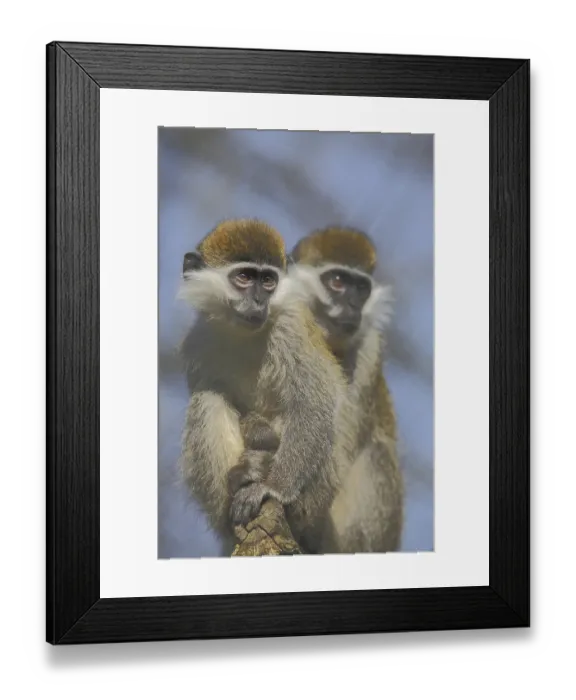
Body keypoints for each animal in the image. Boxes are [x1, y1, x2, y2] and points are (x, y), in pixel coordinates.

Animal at [177, 219, 347, 555]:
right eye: (244, 277)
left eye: (268, 281)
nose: (259, 301)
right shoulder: (198, 341)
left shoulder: (291, 328)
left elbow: (314, 404)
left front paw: (273, 488)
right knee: (208, 397)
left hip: (315, 497)